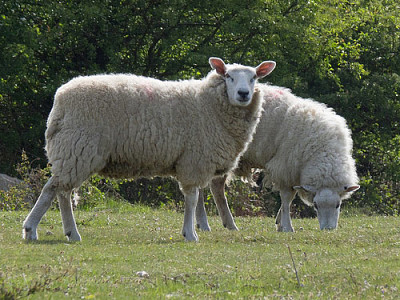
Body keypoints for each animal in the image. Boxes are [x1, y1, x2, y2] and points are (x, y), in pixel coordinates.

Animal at [21, 57, 276, 243]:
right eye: (229, 76)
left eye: (254, 77)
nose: (243, 94)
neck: (209, 105)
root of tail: (60, 100)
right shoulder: (194, 160)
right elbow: (192, 198)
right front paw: (190, 234)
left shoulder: (192, 161)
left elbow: (193, 198)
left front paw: (191, 231)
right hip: (77, 148)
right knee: (53, 189)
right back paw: (36, 230)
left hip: (72, 152)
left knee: (61, 191)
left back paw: (67, 233)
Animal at [196, 83, 360, 233]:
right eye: (316, 205)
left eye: (338, 205)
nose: (328, 229)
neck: (321, 150)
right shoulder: (285, 166)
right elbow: (287, 197)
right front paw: (286, 226)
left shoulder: (293, 170)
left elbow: (291, 196)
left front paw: (279, 222)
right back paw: (206, 224)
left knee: (216, 187)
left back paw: (225, 224)